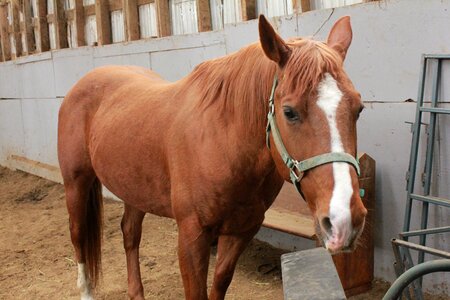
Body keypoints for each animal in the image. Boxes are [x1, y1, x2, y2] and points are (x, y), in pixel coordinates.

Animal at [58, 14, 366, 300]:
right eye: (289, 112)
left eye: (358, 108)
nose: (345, 219)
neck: (223, 142)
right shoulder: (192, 236)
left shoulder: (241, 230)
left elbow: (219, 284)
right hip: (76, 183)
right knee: (78, 235)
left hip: (134, 189)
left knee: (130, 234)